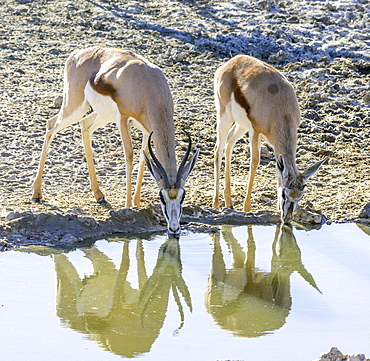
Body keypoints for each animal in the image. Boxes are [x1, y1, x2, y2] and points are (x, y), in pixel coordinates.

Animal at [32, 46, 199, 235]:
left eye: (182, 195)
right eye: (161, 197)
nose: (174, 228)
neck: (148, 85)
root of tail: (77, 53)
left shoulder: (147, 129)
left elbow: (144, 158)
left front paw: (137, 202)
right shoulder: (123, 118)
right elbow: (130, 156)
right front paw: (128, 206)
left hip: (101, 114)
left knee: (84, 125)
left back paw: (99, 195)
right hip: (74, 107)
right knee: (51, 125)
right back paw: (36, 193)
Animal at [212, 54, 326, 222]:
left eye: (300, 197)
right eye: (284, 194)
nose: (287, 219)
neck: (281, 108)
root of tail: (233, 61)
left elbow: (278, 168)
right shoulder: (255, 131)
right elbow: (254, 162)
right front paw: (247, 209)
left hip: (241, 125)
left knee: (230, 143)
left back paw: (229, 202)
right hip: (224, 117)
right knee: (218, 150)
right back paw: (216, 204)